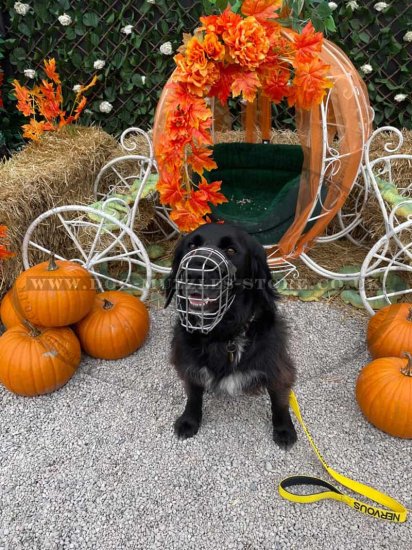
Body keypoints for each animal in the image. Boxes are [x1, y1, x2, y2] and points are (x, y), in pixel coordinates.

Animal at [164, 222, 296, 450]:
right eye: (192, 245)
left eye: (231, 250)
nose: (195, 271)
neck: (223, 334)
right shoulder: (188, 363)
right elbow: (193, 394)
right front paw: (189, 420)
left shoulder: (277, 367)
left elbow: (280, 400)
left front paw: (284, 429)